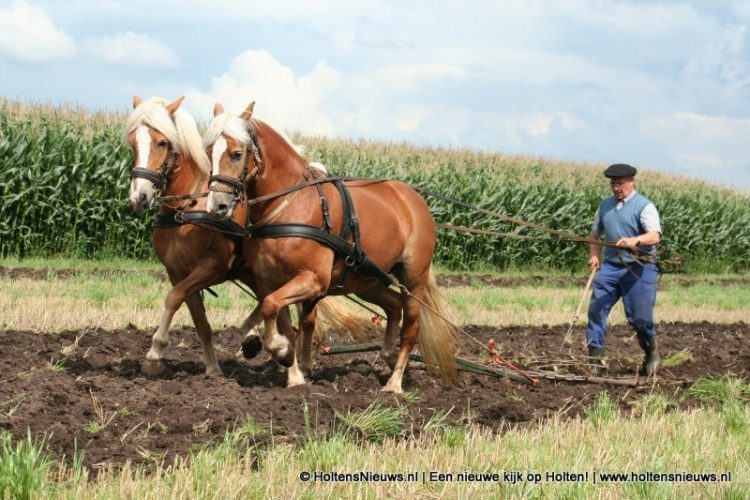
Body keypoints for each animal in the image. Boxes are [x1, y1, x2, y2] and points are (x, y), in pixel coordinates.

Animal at [125, 96, 368, 386]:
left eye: (162, 142)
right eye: (131, 142)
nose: (139, 197)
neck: (186, 208)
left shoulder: (213, 267)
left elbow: (173, 298)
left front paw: (155, 351)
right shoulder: (177, 272)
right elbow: (198, 320)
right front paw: (212, 368)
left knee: (302, 319)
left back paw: (288, 361)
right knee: (277, 310)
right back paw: (261, 346)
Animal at [203, 100, 458, 390]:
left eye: (236, 153)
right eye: (209, 152)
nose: (217, 206)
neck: (288, 205)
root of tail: (414, 199)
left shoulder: (314, 279)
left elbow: (270, 308)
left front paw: (280, 351)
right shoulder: (271, 281)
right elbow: (279, 316)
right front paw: (292, 370)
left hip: (413, 278)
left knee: (410, 328)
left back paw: (394, 384)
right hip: (366, 280)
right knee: (393, 305)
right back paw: (388, 354)